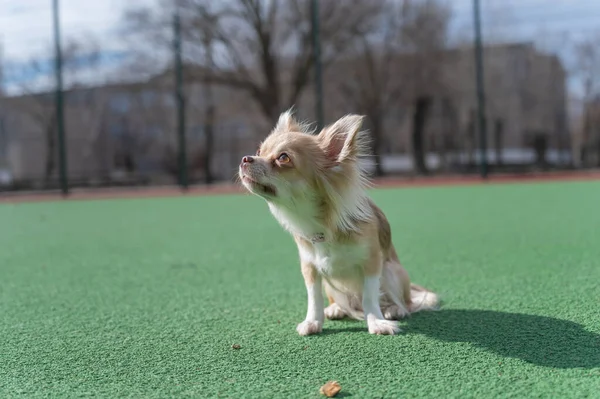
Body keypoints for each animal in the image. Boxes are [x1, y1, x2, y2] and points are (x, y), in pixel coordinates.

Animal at [239, 111, 440, 336]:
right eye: (259, 151)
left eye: (283, 158)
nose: (245, 158)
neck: (320, 225)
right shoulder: (310, 268)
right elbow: (314, 298)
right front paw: (312, 321)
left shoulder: (372, 263)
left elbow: (370, 296)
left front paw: (376, 322)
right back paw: (336, 308)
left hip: (392, 271)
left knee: (405, 301)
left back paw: (395, 309)